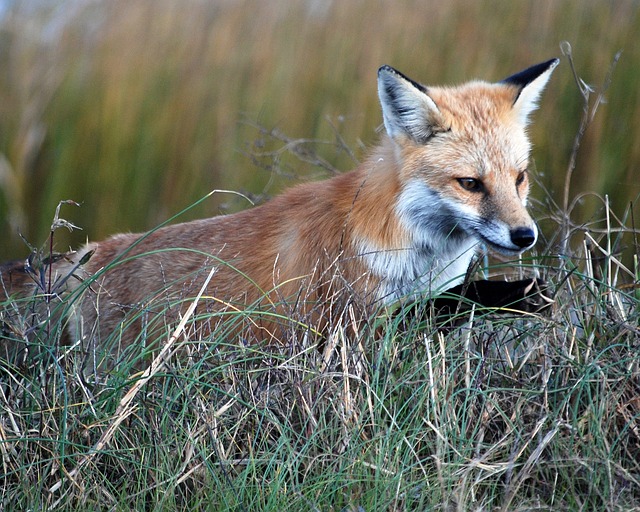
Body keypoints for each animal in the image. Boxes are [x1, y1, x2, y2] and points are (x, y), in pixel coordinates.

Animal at [0, 59, 560, 356]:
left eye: (519, 178)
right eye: (470, 184)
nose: (525, 236)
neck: (416, 249)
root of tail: (96, 252)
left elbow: (448, 302)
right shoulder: (347, 328)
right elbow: (447, 305)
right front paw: (518, 293)